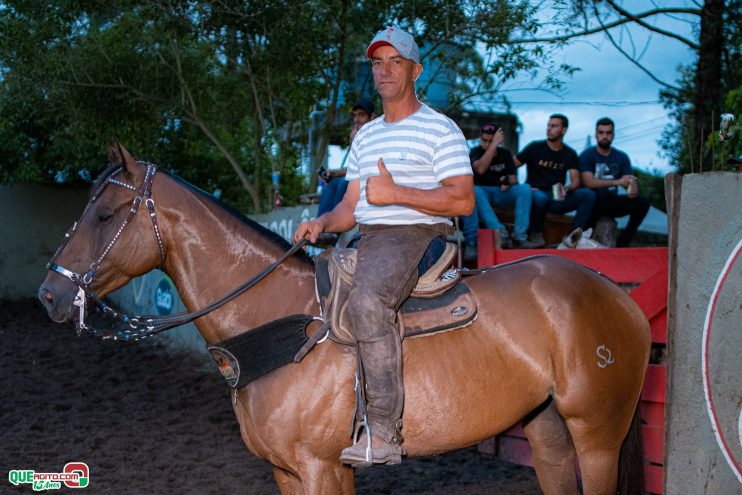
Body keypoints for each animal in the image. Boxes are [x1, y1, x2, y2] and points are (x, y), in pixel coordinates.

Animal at [37, 147, 652, 495]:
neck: (280, 325)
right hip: (547, 431)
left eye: (106, 214)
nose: (50, 294)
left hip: (598, 434)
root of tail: (617, 296)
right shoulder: (288, 471)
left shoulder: (320, 466)